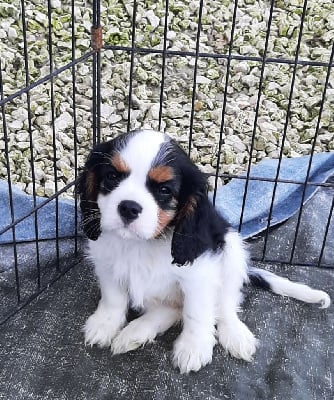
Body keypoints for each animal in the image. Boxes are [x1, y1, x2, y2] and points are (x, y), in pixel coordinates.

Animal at [79, 129, 332, 372]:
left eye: (164, 190)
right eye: (112, 176)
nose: (128, 207)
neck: (142, 243)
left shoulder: (199, 274)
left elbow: (197, 312)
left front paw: (193, 347)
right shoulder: (106, 263)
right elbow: (113, 297)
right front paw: (104, 324)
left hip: (232, 251)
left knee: (226, 303)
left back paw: (235, 334)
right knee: (172, 309)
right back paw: (136, 332)